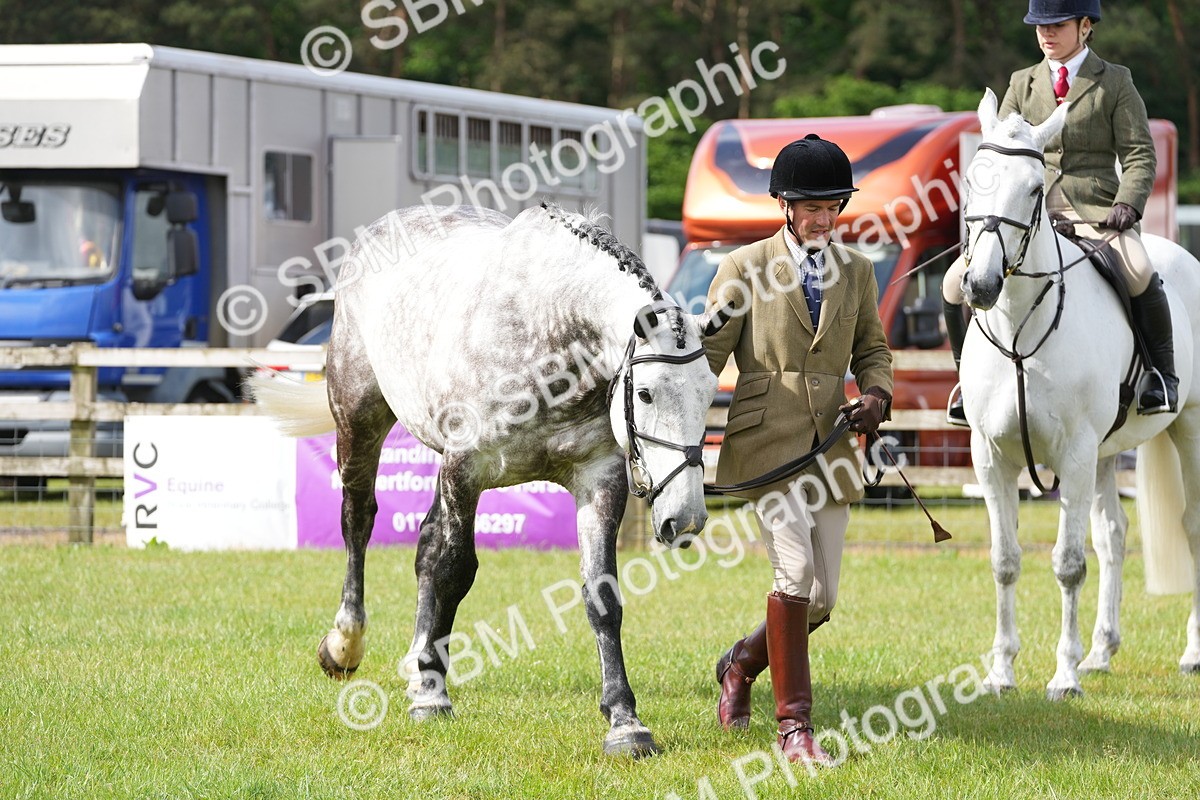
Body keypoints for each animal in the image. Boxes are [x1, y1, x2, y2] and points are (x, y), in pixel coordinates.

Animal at [249, 202, 717, 755]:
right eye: (645, 393)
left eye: (711, 392)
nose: (685, 519)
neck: (548, 332)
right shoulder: (465, 468)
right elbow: (454, 571)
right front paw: (433, 699)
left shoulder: (599, 478)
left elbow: (601, 596)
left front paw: (624, 721)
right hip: (358, 419)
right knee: (359, 523)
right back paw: (347, 645)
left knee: (426, 543)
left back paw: (417, 664)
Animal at [958, 88, 1200, 700]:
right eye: (972, 180)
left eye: (1034, 189)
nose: (980, 285)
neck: (1020, 331)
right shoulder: (990, 457)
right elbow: (1005, 560)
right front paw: (1001, 672)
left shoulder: (1073, 454)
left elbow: (1068, 564)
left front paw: (1063, 676)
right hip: (1107, 455)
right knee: (1113, 536)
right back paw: (1100, 652)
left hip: (1187, 430)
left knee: (1191, 527)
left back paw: (1190, 653)